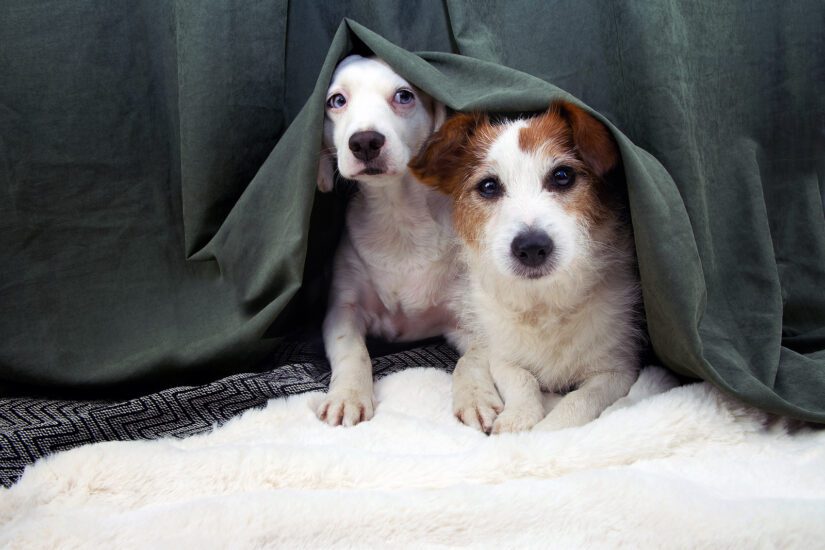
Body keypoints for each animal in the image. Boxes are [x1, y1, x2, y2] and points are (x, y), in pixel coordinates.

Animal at [316, 55, 460, 426]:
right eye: (337, 100)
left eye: (404, 95)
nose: (365, 141)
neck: (398, 218)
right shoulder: (343, 310)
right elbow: (354, 353)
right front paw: (348, 396)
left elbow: (479, 358)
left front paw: (477, 394)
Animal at [408, 101, 640, 434]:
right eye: (489, 186)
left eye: (562, 175)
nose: (531, 247)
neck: (543, 303)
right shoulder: (503, 355)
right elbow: (521, 378)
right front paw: (518, 417)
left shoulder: (617, 370)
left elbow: (579, 399)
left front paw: (546, 431)